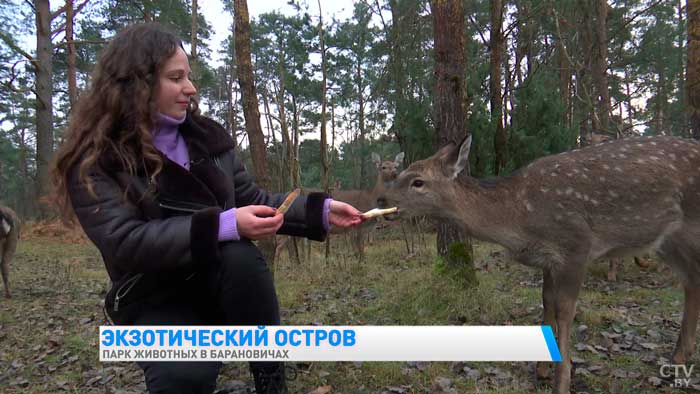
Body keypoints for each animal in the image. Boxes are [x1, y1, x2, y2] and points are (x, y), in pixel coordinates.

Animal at [386, 136, 700, 394]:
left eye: (418, 181)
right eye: (401, 173)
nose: (381, 200)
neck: (519, 220)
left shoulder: (576, 246)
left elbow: (565, 311)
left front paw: (562, 381)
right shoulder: (549, 261)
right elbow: (546, 302)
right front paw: (542, 370)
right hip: (668, 241)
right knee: (690, 283)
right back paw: (677, 358)